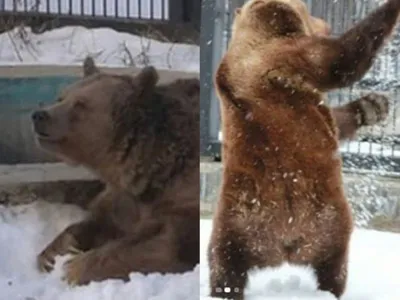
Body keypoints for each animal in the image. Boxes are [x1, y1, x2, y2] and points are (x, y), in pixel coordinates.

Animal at [31, 58, 200, 286]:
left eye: (81, 104)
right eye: (62, 97)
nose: (40, 115)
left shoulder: (183, 196)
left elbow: (167, 242)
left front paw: (73, 267)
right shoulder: (124, 197)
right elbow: (99, 222)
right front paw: (52, 255)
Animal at [209, 0, 400, 298]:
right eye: (308, 11)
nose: (325, 22)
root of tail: (285, 244)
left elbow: (336, 119)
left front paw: (372, 106)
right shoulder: (284, 56)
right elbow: (341, 59)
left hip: (234, 225)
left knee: (226, 265)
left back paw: (225, 289)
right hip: (325, 221)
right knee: (333, 266)